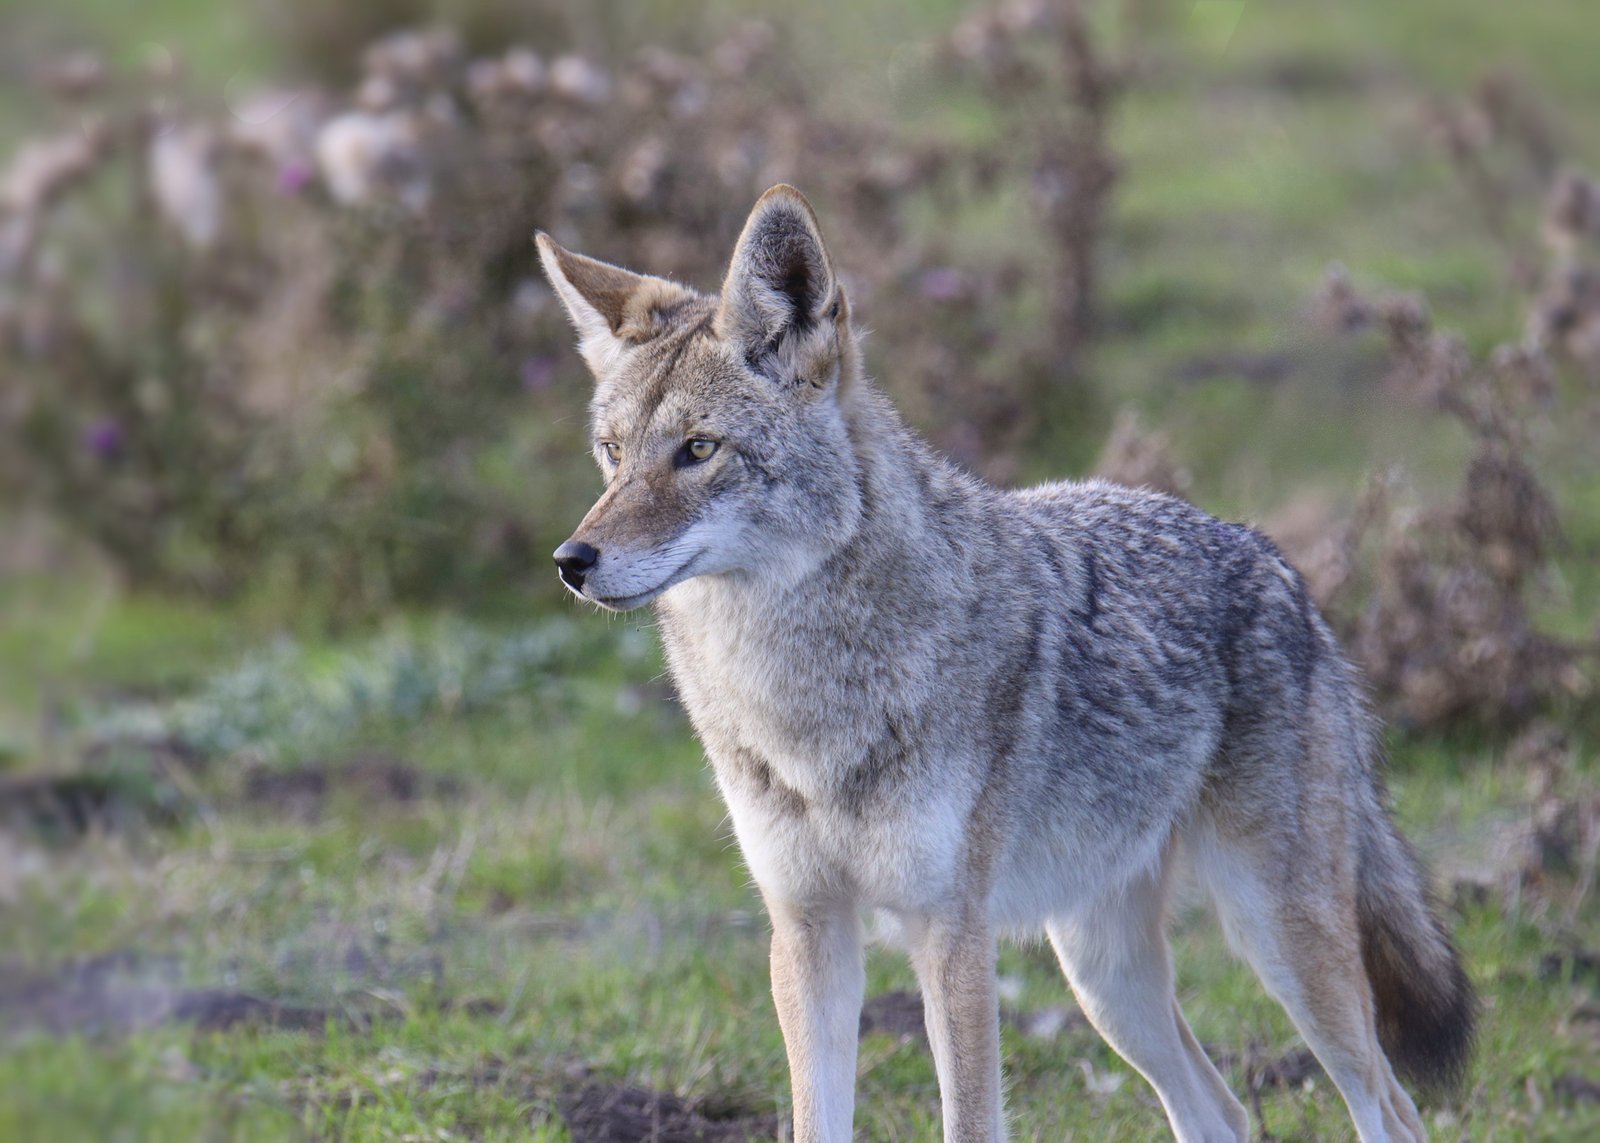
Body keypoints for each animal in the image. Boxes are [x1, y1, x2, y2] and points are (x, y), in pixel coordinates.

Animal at [535, 185, 1474, 1143]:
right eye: (614, 452)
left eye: (698, 448)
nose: (572, 560)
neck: (801, 700)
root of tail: (1281, 566)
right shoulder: (806, 930)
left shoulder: (953, 933)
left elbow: (971, 1119)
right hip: (1105, 979)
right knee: (1223, 1109)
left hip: (1280, 944)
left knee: (1392, 1106)